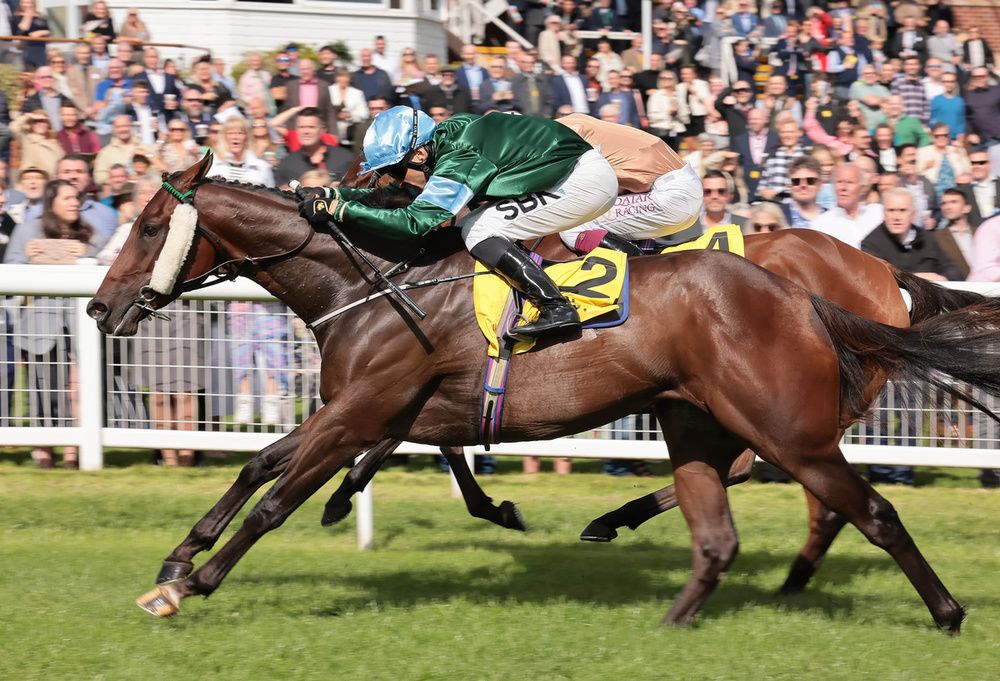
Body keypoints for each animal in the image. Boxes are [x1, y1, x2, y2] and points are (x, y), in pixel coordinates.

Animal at [88, 153, 1000, 628]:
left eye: (147, 226)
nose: (99, 307)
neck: (379, 280)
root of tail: (822, 288)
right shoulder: (366, 409)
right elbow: (258, 467)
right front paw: (178, 557)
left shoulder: (365, 409)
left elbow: (278, 497)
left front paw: (192, 582)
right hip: (708, 417)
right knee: (733, 519)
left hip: (785, 423)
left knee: (861, 506)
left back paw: (945, 612)